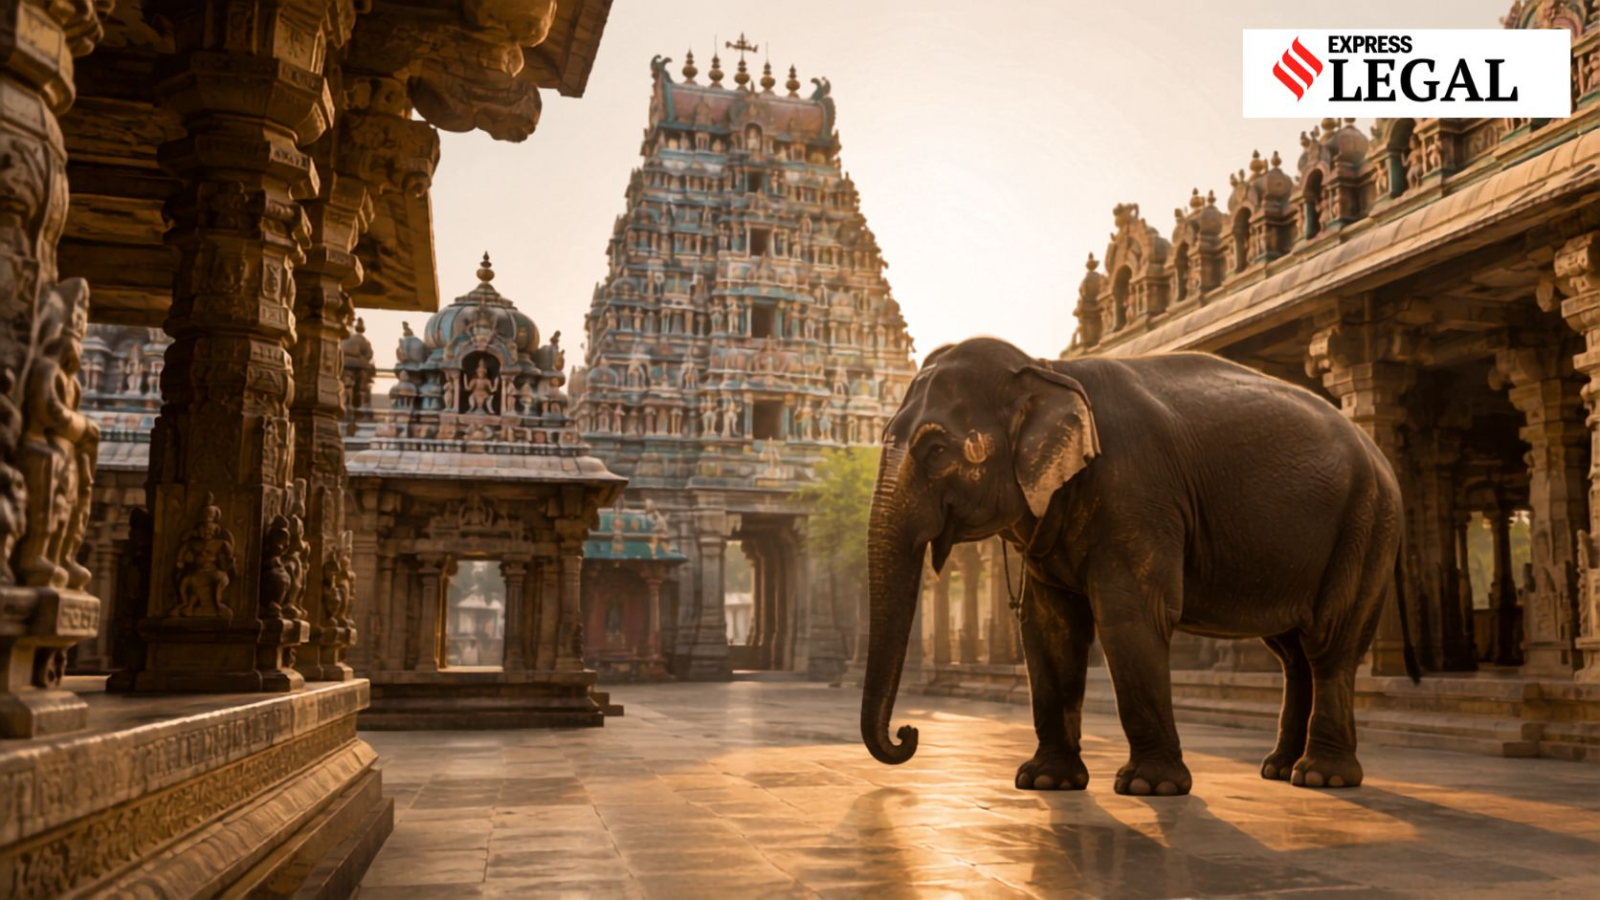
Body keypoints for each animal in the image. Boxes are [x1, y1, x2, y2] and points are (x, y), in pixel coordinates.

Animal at [861, 338, 1418, 796]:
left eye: (935, 450)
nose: (909, 732)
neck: (1047, 369)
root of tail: (1380, 457)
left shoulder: (1137, 491)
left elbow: (1129, 617)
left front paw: (1149, 788)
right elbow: (1049, 627)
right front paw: (1045, 781)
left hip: (1366, 523)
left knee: (1330, 642)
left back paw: (1322, 777)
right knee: (1292, 651)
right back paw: (1279, 769)